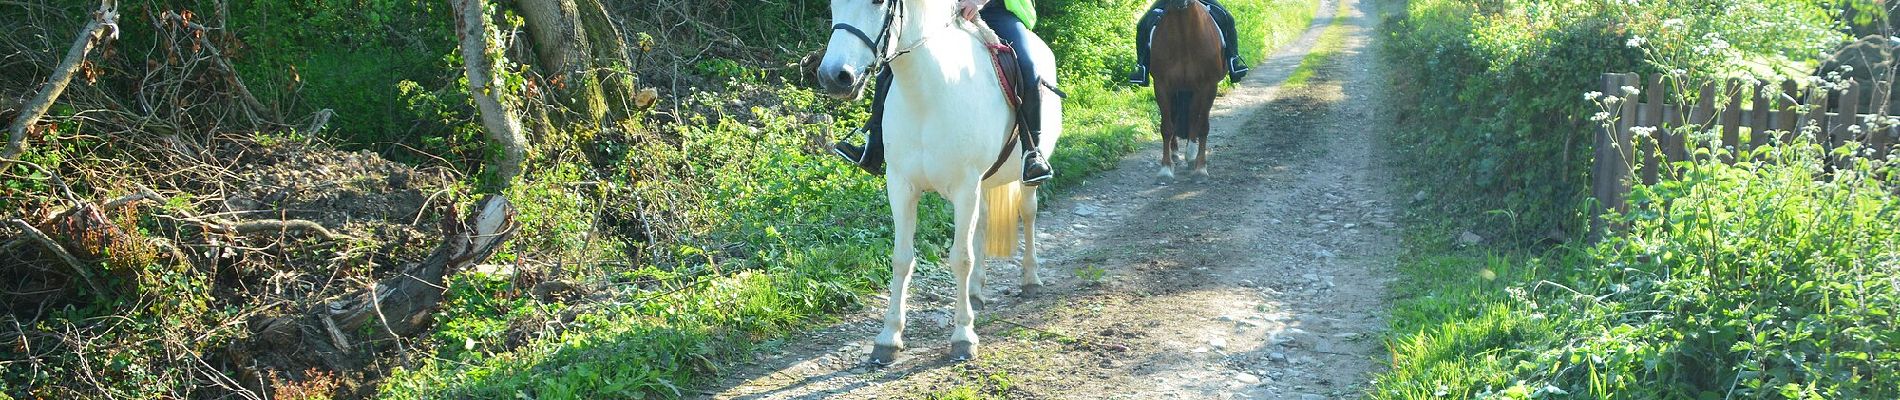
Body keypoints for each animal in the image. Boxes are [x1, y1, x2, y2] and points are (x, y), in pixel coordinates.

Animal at [813, 0, 1064, 363]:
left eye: (878, 2)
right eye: (834, 4)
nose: (834, 76)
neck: (928, 92)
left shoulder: (964, 186)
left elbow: (960, 257)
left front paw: (963, 336)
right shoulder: (901, 186)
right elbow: (902, 258)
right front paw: (888, 338)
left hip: (1020, 177)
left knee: (1028, 213)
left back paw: (1030, 278)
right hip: (982, 184)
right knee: (983, 223)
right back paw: (975, 292)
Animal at [1147, 0, 1223, 180]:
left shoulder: (1208, 86)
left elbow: (1202, 126)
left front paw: (1201, 168)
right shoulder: (1162, 85)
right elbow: (1166, 127)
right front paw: (1165, 169)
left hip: (1194, 90)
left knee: (1193, 117)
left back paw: (1191, 156)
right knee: (1177, 115)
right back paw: (1175, 154)